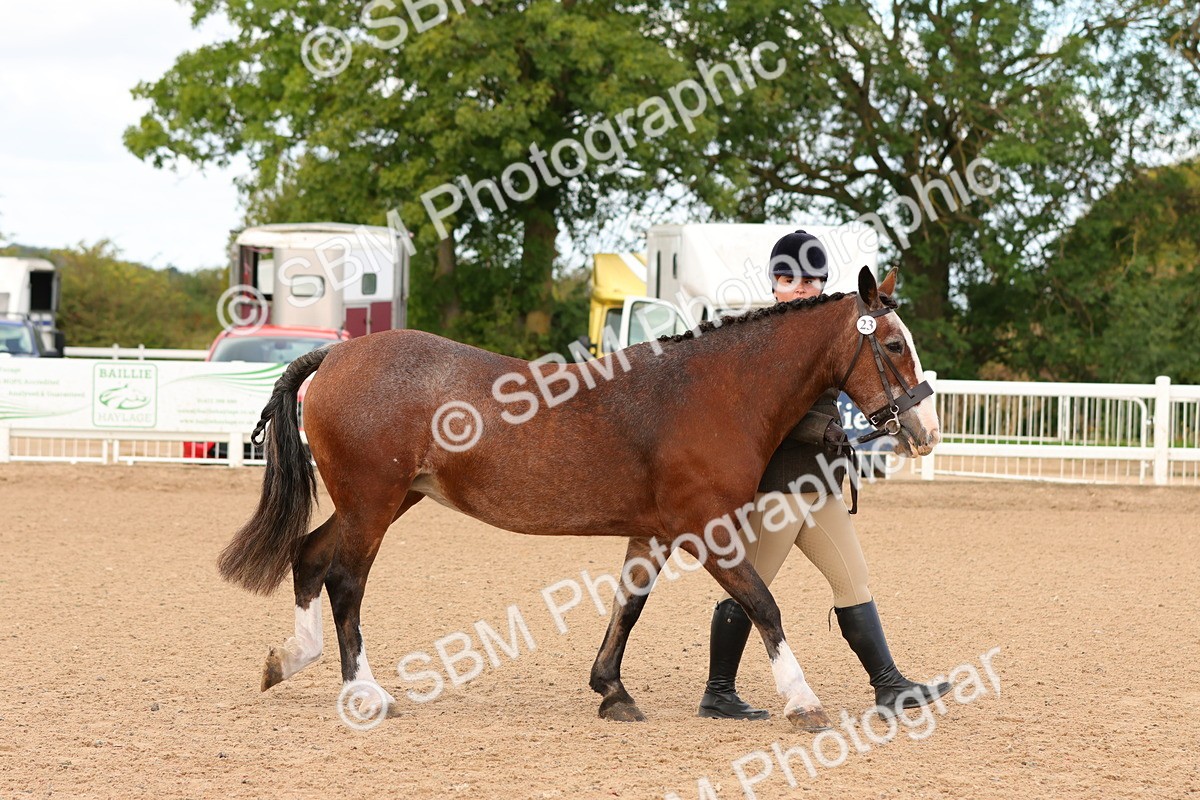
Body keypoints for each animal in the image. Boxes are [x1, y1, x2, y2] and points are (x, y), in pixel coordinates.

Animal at [217, 266, 940, 731]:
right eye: (894, 343)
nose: (925, 430)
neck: (713, 390)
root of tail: (337, 358)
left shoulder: (654, 532)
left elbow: (628, 607)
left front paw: (611, 690)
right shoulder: (706, 529)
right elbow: (762, 604)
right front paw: (803, 701)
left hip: (385, 500)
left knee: (310, 557)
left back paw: (290, 659)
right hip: (373, 502)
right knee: (344, 581)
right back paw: (366, 694)